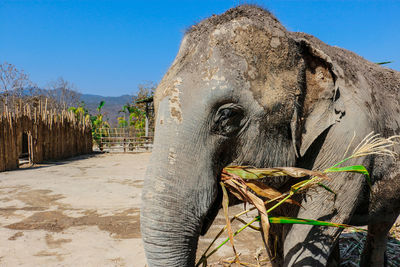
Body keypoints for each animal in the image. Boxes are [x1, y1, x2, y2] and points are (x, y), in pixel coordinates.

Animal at [141, 4, 400, 267]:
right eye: (153, 105)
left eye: (227, 115)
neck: (299, 45)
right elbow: (274, 231)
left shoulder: (348, 144)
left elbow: (306, 234)